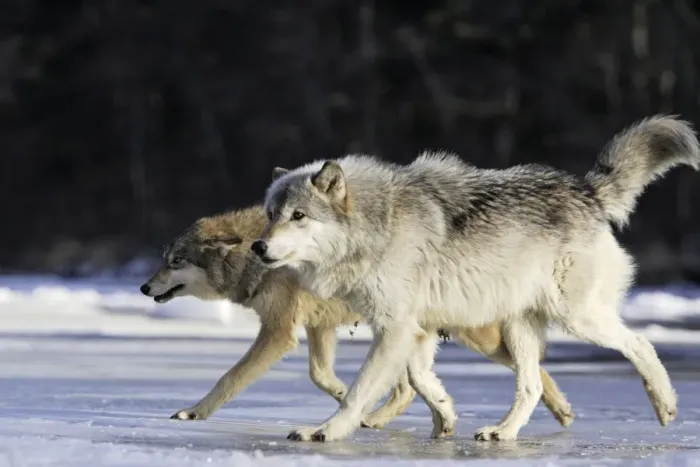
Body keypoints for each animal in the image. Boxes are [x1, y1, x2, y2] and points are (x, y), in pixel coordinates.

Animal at [139, 207, 575, 427]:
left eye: (174, 262)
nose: (144, 287)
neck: (255, 257)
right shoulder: (318, 326)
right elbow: (320, 375)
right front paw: (344, 397)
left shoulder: (279, 332)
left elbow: (229, 378)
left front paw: (194, 411)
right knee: (407, 389)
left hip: (476, 337)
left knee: (534, 367)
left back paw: (559, 411)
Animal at [255, 115, 699, 442]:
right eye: (271, 214)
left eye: (298, 216)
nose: (258, 246)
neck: (377, 224)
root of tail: (585, 189)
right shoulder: (416, 328)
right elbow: (420, 379)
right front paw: (446, 417)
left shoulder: (395, 328)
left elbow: (358, 392)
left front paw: (325, 431)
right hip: (520, 327)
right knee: (532, 387)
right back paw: (503, 432)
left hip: (577, 318)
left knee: (640, 343)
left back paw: (665, 405)